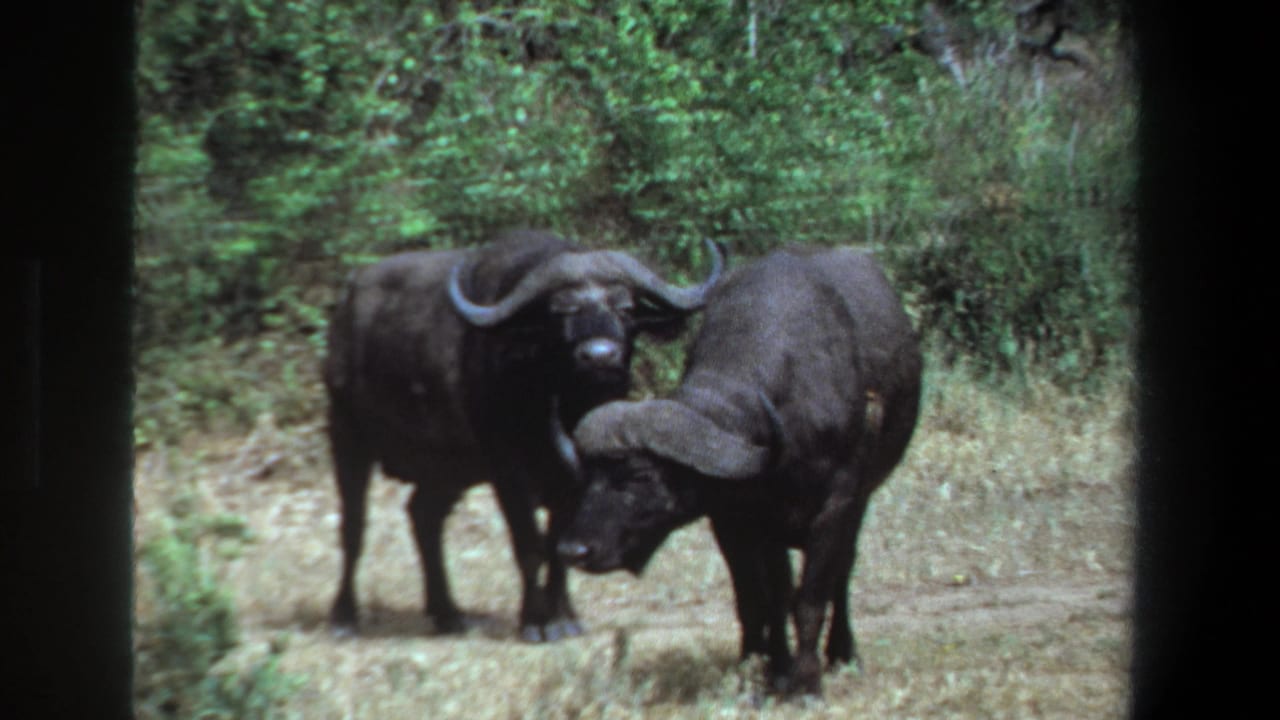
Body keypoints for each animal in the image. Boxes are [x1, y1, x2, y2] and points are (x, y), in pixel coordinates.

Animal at [325, 230, 723, 641]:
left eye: (625, 308)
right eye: (561, 311)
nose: (600, 356)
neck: (557, 401)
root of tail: (348, 300)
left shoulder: (575, 479)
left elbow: (562, 544)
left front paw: (563, 618)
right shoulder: (507, 471)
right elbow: (530, 546)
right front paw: (534, 621)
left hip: (449, 468)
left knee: (424, 516)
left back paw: (448, 613)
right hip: (346, 434)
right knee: (354, 527)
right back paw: (344, 617)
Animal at [554, 246, 922, 694]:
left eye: (640, 477)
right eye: (587, 475)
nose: (574, 550)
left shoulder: (836, 507)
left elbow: (810, 598)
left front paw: (805, 683)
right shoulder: (736, 520)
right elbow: (762, 598)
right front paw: (768, 669)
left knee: (843, 573)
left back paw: (842, 653)